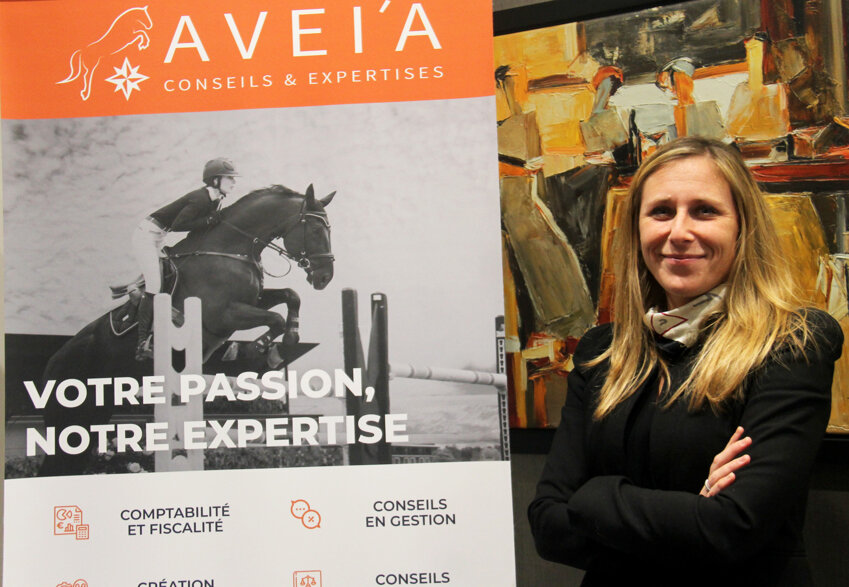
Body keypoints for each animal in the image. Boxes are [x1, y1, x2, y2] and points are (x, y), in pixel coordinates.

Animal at [37, 184, 334, 476]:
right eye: (316, 230)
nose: (324, 277)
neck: (232, 248)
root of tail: (51, 363)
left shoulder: (253, 300)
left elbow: (291, 296)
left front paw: (287, 339)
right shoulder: (223, 314)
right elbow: (275, 318)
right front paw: (258, 348)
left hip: (94, 417)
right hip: (68, 420)